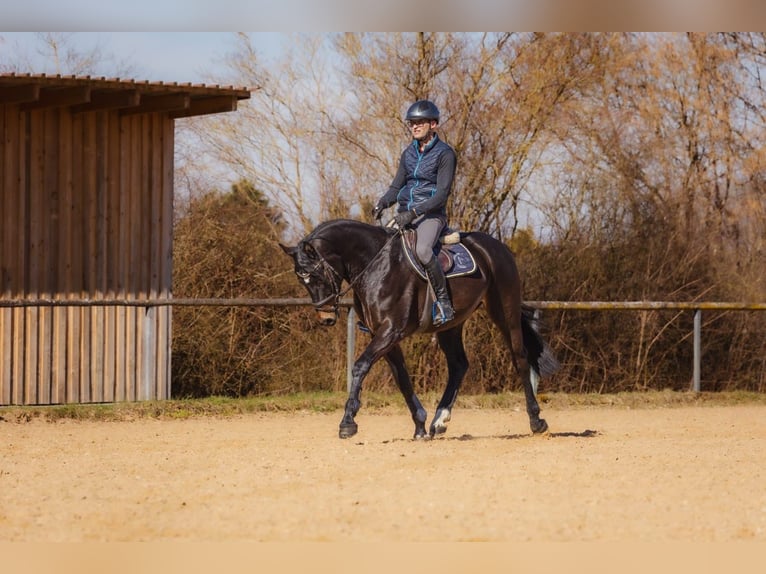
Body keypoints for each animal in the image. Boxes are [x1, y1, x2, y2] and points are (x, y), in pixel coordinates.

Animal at [280, 218, 558, 440]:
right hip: (451, 325)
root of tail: (497, 246)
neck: (376, 263)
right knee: (459, 365)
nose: (326, 317)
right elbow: (402, 378)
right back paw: (439, 421)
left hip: (504, 311)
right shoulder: (384, 335)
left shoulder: (390, 330)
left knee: (519, 357)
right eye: (301, 279)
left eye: (316, 275)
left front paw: (348, 423)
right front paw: (420, 425)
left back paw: (536, 421)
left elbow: (360, 367)